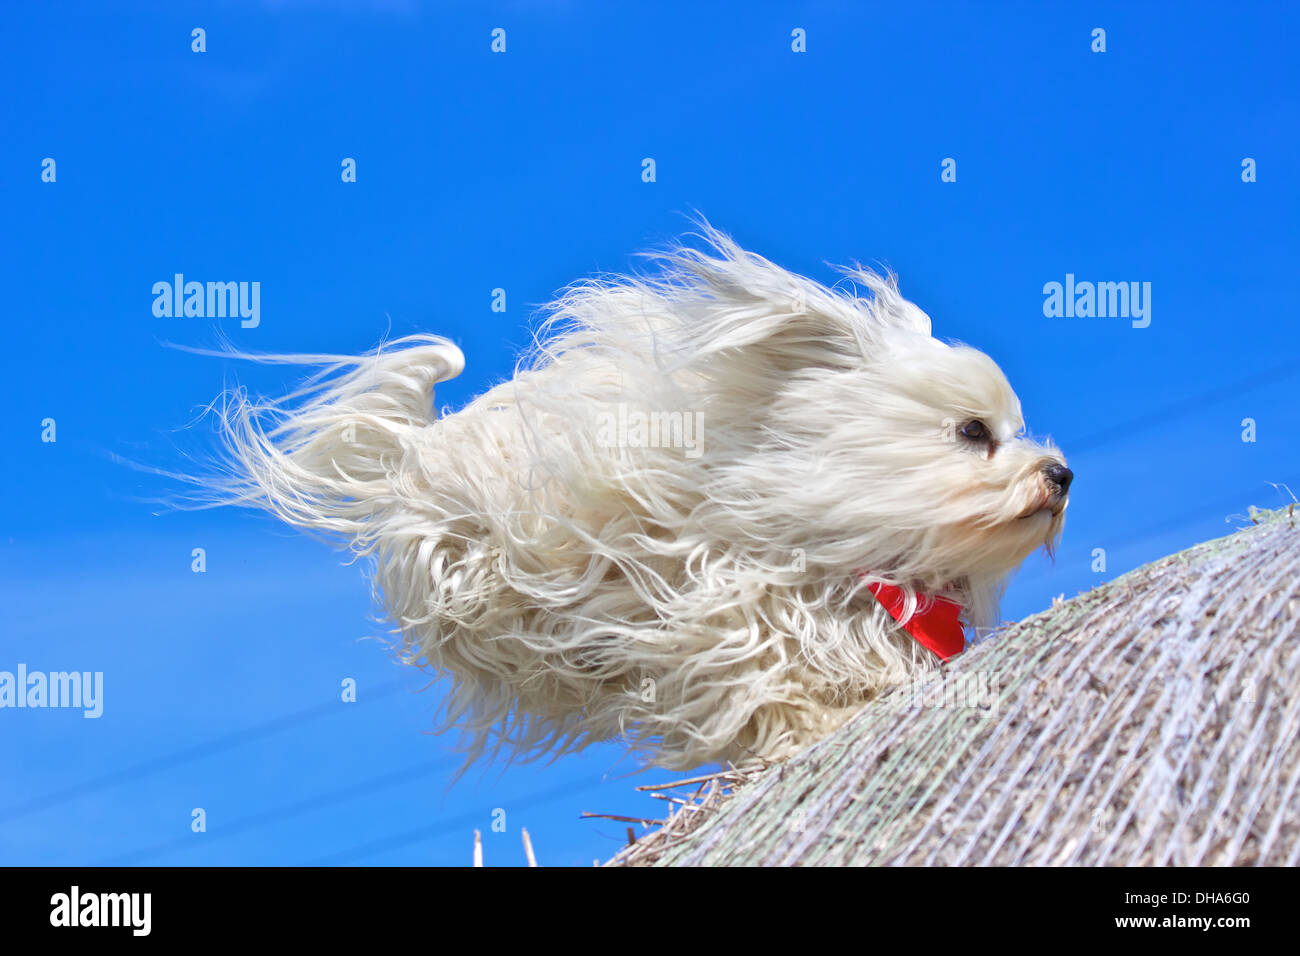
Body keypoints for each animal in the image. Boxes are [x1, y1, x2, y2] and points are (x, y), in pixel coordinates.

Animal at [202, 227, 1071, 775]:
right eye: (972, 431)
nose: (1061, 474)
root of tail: (417, 449)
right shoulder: (720, 611)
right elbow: (767, 676)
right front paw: (811, 727)